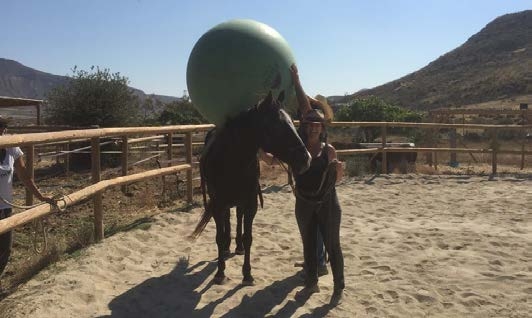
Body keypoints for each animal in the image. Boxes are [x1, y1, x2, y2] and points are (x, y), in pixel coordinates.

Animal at [191, 90, 310, 284]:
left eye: (293, 122)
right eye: (277, 126)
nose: (306, 159)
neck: (232, 161)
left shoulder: (250, 203)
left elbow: (248, 238)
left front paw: (247, 274)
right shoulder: (217, 205)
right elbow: (219, 237)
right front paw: (220, 273)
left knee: (238, 218)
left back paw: (237, 246)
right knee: (227, 221)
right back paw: (227, 247)